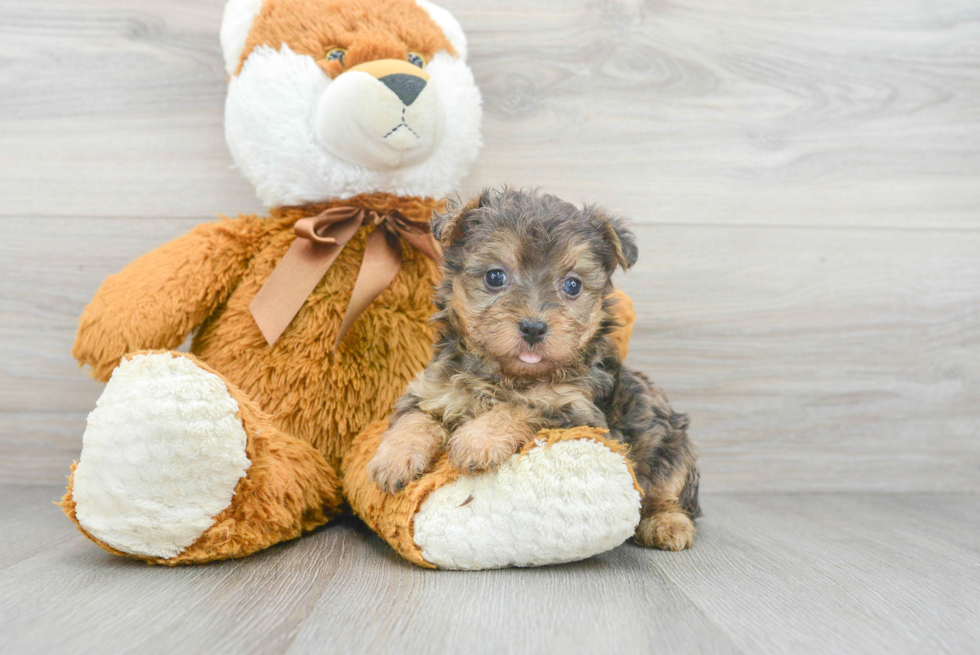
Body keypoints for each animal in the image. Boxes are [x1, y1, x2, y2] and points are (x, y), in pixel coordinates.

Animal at [366, 187, 696, 552]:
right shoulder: (431, 391)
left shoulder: (575, 409)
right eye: (495, 277)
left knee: (668, 491)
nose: (534, 328)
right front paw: (393, 460)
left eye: (572, 285)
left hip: (669, 443)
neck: (506, 374)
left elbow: (519, 406)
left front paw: (476, 441)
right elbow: (414, 419)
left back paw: (667, 524)